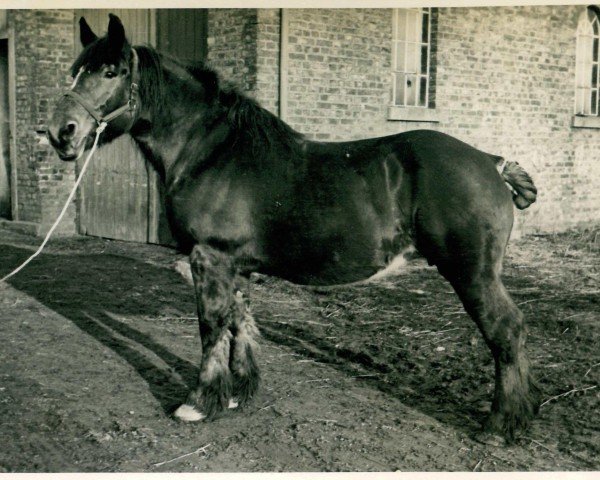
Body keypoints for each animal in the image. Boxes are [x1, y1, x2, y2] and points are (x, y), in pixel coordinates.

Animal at [48, 14, 540, 442]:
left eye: (110, 71)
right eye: (75, 71)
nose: (60, 131)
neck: (210, 151)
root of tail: (491, 163)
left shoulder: (210, 257)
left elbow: (211, 327)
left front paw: (199, 402)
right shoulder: (234, 265)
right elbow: (239, 322)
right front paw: (237, 393)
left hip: (473, 274)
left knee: (507, 331)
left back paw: (500, 425)